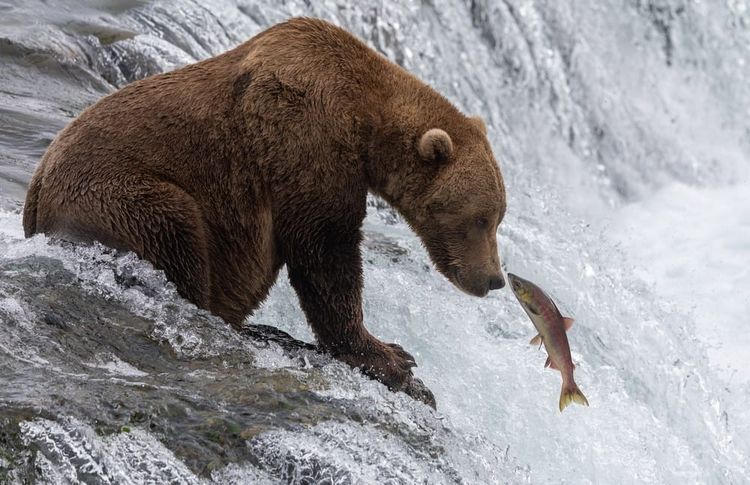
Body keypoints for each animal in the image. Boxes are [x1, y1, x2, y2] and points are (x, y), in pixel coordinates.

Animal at [22, 17, 506, 406]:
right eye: (480, 219)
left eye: (499, 217)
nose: (494, 279)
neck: (365, 121)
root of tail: (35, 191)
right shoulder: (306, 142)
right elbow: (325, 255)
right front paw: (392, 357)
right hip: (123, 193)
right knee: (175, 231)